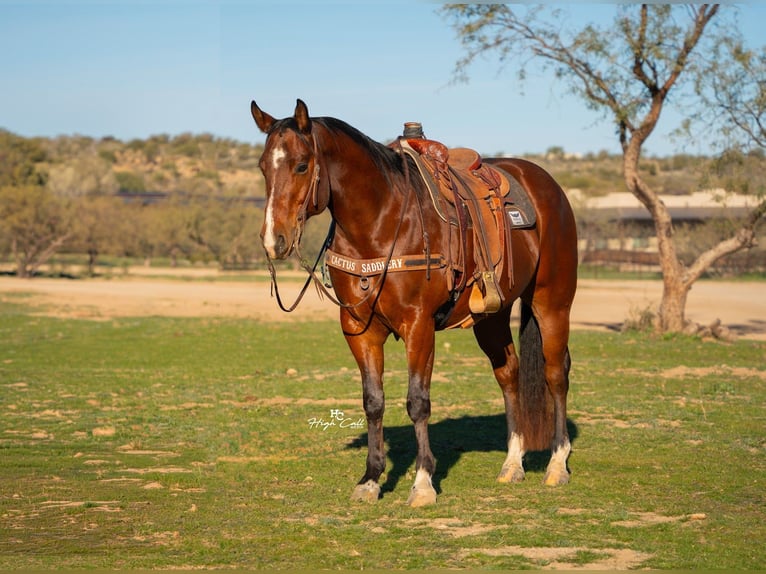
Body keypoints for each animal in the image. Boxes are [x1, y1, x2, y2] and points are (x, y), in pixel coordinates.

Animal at [250, 99, 577, 507]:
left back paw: (557, 464)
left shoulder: (419, 326)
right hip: (493, 316)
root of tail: (546, 185)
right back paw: (512, 464)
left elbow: (417, 401)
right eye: (263, 167)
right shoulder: (359, 329)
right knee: (509, 374)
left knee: (555, 374)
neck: (380, 222)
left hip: (552, 302)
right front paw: (371, 479)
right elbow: (373, 401)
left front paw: (422, 483)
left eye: (301, 165)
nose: (273, 240)